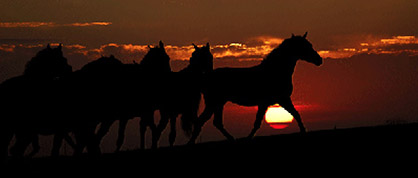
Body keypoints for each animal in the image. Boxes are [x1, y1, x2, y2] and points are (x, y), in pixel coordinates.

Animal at [189, 32, 324, 144]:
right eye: (305, 46)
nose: (319, 60)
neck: (275, 71)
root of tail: (205, 77)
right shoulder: (274, 101)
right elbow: (258, 123)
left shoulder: (279, 101)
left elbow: (295, 114)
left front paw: (303, 131)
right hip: (213, 103)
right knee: (201, 121)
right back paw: (191, 143)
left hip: (219, 103)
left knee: (216, 122)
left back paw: (231, 139)